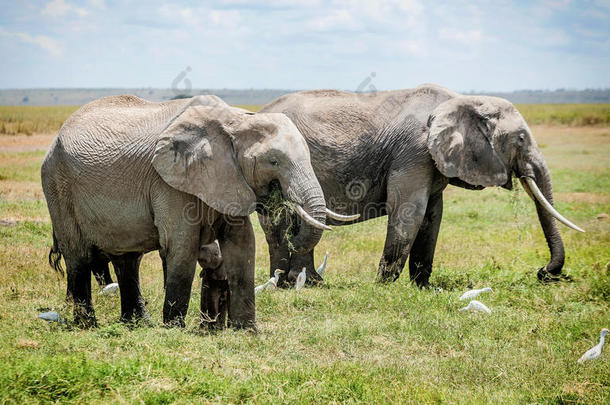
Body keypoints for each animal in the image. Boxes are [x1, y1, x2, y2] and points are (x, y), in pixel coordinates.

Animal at [41, 93, 346, 326]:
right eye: (273, 161)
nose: (291, 228)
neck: (235, 120)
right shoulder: (169, 181)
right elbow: (181, 246)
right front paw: (173, 328)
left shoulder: (229, 178)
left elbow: (242, 245)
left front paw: (246, 330)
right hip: (57, 184)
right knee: (78, 256)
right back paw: (87, 325)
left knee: (127, 259)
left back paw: (137, 324)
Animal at [258, 83, 580, 286]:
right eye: (521, 139)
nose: (543, 272)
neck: (461, 99)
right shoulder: (414, 151)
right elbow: (408, 211)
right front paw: (383, 286)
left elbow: (432, 217)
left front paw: (423, 287)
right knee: (279, 225)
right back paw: (294, 282)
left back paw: (300, 283)